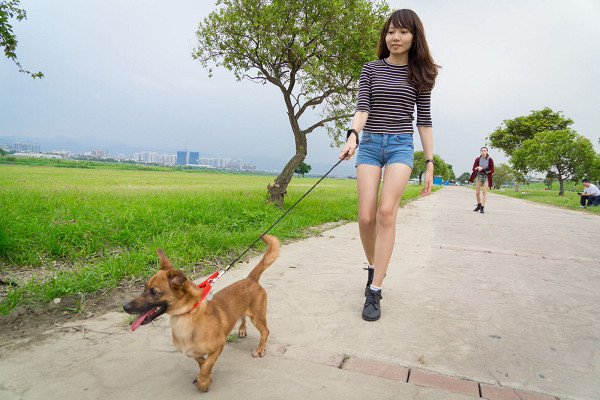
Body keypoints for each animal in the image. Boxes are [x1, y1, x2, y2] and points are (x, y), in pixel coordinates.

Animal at [123, 234, 282, 390]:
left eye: (154, 292)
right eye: (144, 288)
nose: (125, 307)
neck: (186, 317)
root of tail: (251, 279)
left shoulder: (219, 346)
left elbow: (207, 364)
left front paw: (203, 381)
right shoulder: (190, 352)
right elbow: (202, 361)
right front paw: (205, 376)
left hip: (257, 317)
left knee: (265, 332)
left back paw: (260, 349)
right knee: (242, 317)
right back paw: (242, 329)